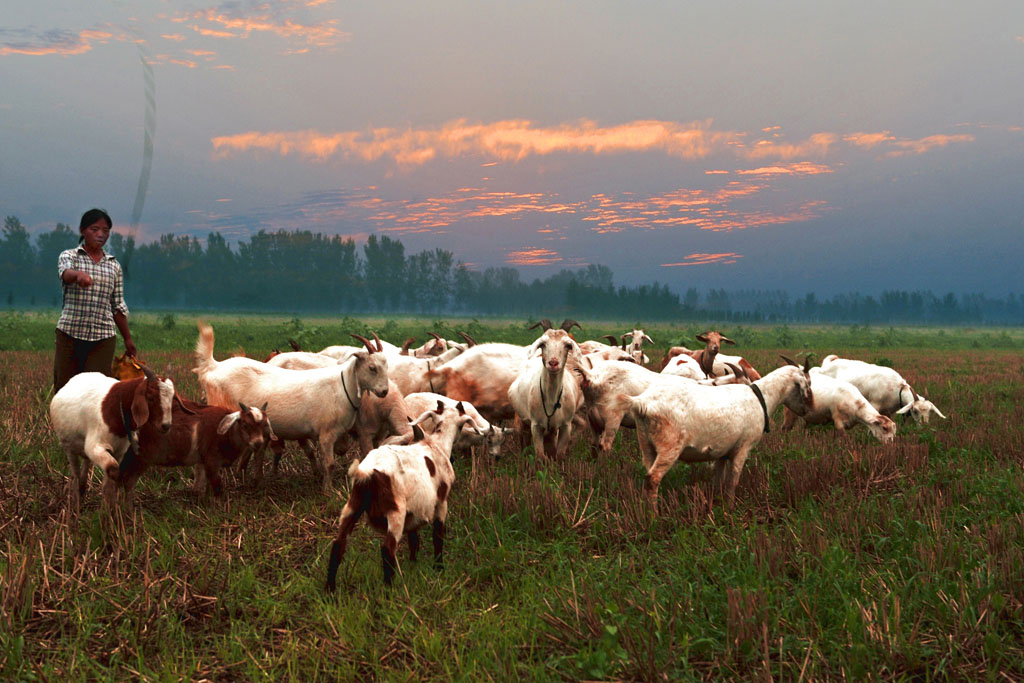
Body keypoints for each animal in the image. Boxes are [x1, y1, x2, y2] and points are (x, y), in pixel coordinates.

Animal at [50, 368, 178, 511]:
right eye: (150, 397)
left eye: (172, 399)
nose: (165, 426)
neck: (115, 407)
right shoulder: (96, 446)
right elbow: (113, 470)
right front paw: (109, 510)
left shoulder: (119, 452)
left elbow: (109, 481)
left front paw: (108, 509)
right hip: (68, 448)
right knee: (75, 474)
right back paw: (76, 504)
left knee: (85, 465)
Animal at [193, 325, 389, 491]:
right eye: (372, 367)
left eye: (386, 366)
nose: (384, 391)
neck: (342, 385)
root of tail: (213, 366)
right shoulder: (326, 433)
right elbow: (329, 463)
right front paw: (327, 491)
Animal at [323, 401, 475, 589]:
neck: (436, 445)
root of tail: (367, 473)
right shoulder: (441, 502)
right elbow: (438, 535)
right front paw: (439, 567)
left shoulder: (415, 511)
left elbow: (414, 540)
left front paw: (413, 565)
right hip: (395, 511)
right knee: (387, 550)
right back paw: (389, 589)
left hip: (353, 505)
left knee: (338, 544)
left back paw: (330, 589)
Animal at [618, 358, 811, 507]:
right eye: (807, 384)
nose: (807, 410)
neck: (761, 397)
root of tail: (642, 403)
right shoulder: (742, 449)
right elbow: (732, 482)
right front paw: (730, 509)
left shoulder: (722, 453)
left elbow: (718, 481)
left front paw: (719, 505)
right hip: (669, 447)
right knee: (652, 479)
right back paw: (654, 517)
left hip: (646, 445)